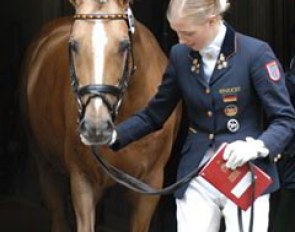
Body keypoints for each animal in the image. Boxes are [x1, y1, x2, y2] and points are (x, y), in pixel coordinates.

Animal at [19, 0, 182, 232]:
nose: (96, 127)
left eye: (124, 45)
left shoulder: (150, 185)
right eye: (73, 44)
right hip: (44, 163)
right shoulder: (83, 181)